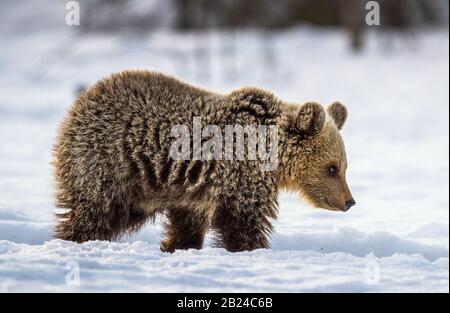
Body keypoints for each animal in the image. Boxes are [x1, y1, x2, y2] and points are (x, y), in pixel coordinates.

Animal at [52, 70, 356, 251]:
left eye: (344, 167)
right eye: (332, 168)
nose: (349, 201)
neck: (272, 153)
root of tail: (79, 103)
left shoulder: (193, 195)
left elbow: (187, 226)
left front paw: (176, 247)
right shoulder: (242, 176)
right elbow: (244, 223)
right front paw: (252, 249)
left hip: (138, 191)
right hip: (108, 163)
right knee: (93, 212)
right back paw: (73, 241)